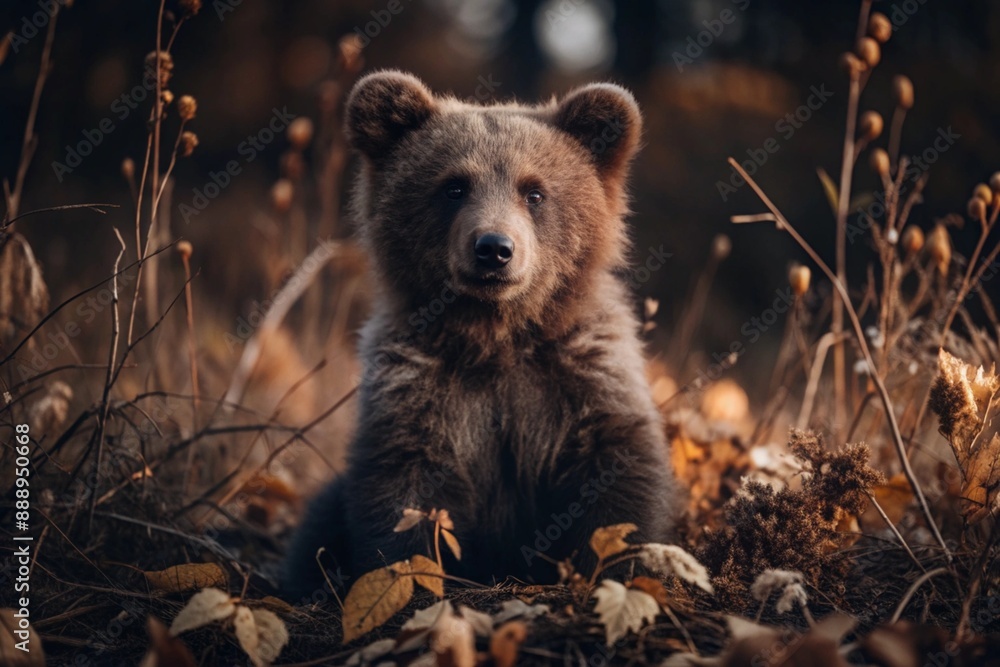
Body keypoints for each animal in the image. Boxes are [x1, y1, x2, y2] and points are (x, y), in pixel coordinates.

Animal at [282, 70, 681, 601]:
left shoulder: (582, 376)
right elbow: (406, 492)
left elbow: (617, 477)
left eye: (535, 192)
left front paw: (618, 568)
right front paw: (410, 582)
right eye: (454, 186)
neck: (497, 336)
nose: (494, 248)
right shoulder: (416, 387)